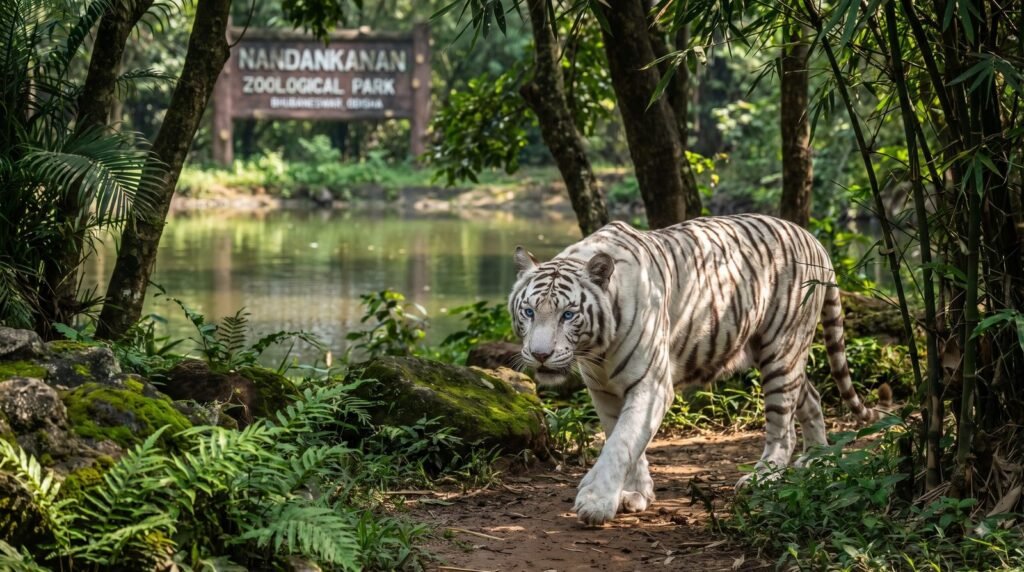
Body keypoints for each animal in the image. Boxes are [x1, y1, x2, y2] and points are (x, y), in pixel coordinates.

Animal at [508, 214, 880, 525]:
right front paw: (636, 494)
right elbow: (624, 439)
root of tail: (813, 239)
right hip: (778, 354)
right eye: (528, 311)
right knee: (812, 398)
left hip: (782, 348)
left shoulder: (651, 384)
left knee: (782, 428)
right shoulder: (603, 390)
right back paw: (818, 459)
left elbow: (622, 443)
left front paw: (596, 502)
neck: (596, 349)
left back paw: (762, 478)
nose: (540, 354)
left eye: (568, 315)